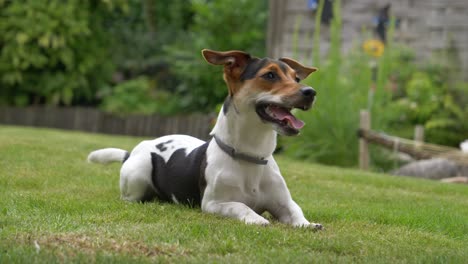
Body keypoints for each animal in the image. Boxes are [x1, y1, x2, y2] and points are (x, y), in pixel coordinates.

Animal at [88, 49, 322, 229]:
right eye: (270, 75)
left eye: (296, 78)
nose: (311, 92)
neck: (251, 156)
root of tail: (133, 151)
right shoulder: (213, 204)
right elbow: (240, 206)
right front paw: (256, 219)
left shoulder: (283, 203)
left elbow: (296, 210)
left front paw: (307, 224)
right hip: (139, 174)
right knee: (130, 197)